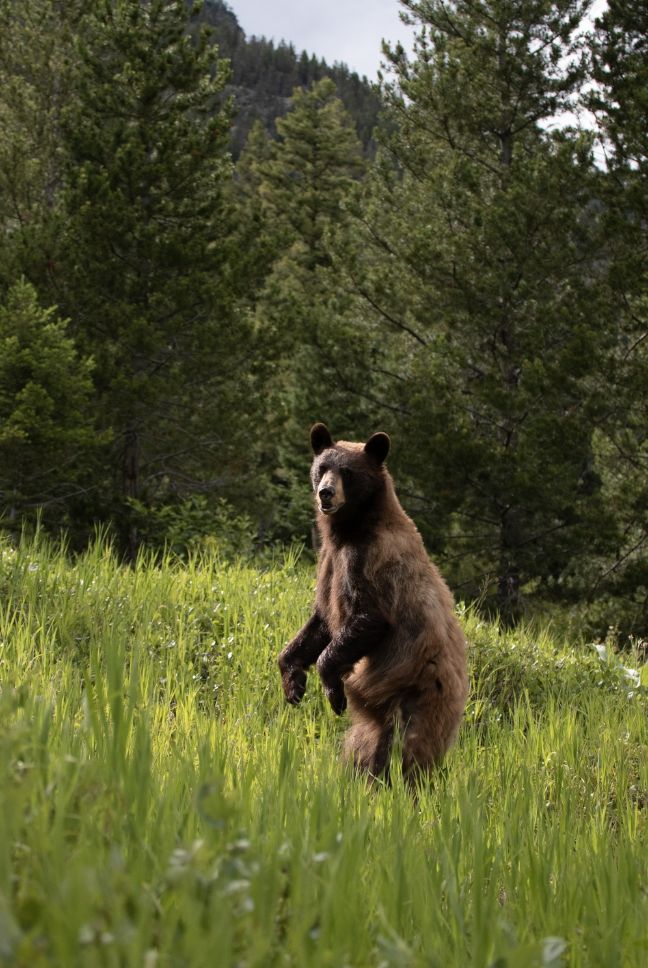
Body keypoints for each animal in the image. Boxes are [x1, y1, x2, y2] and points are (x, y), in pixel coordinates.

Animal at [278, 422, 468, 780]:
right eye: (322, 467)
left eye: (348, 472)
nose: (325, 493)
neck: (350, 530)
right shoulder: (329, 562)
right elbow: (319, 622)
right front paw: (293, 682)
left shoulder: (369, 562)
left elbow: (368, 618)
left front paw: (334, 694)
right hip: (380, 715)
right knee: (365, 747)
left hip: (418, 693)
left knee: (409, 749)